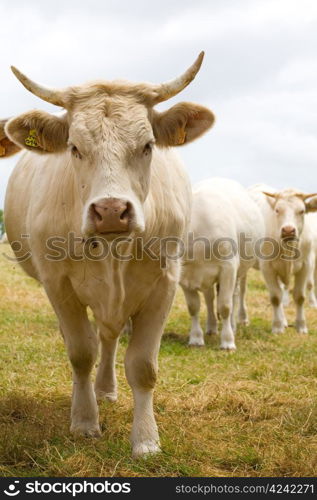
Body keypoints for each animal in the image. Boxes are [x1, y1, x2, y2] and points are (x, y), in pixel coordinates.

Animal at [1, 51, 215, 458]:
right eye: (74, 147)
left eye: (147, 145)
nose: (112, 210)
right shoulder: (58, 285)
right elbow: (81, 353)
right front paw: (85, 420)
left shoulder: (164, 284)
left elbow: (143, 366)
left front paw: (145, 438)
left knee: (110, 336)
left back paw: (106, 389)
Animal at [179, 178, 262, 350]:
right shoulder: (184, 275)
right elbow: (193, 307)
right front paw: (196, 338)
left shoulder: (228, 268)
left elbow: (225, 306)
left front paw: (228, 341)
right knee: (209, 299)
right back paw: (211, 327)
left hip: (238, 271)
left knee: (234, 296)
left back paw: (233, 326)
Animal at [248, 186, 316, 334]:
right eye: (277, 210)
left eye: (302, 211)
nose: (288, 230)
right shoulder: (267, 267)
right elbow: (275, 297)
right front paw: (277, 326)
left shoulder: (306, 265)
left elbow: (299, 296)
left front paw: (301, 326)